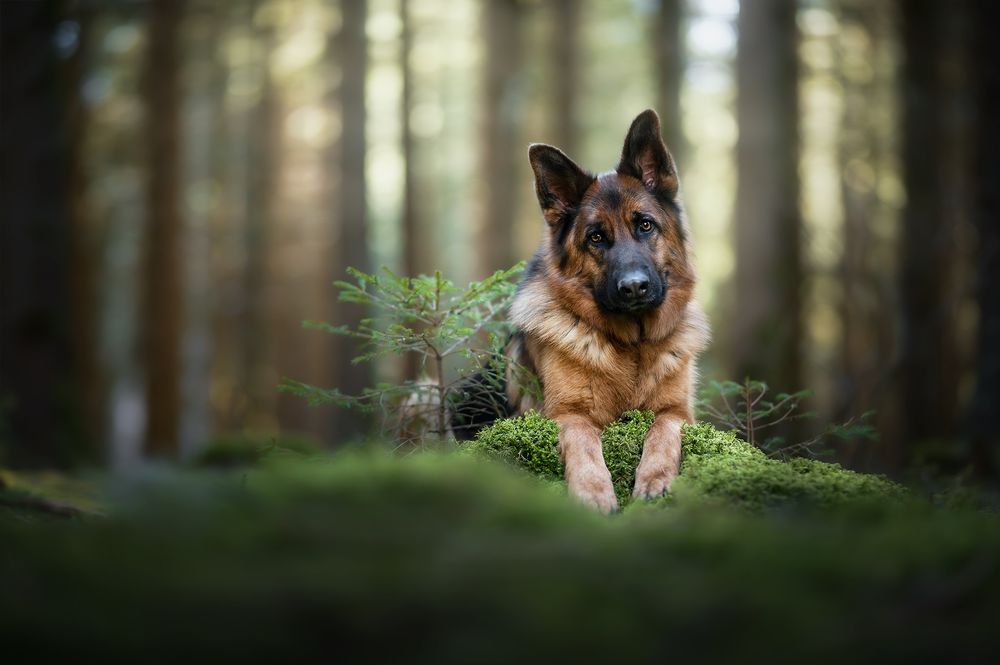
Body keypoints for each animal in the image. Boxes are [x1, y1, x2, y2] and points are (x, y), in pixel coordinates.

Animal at [458, 111, 708, 510]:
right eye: (596, 237)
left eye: (645, 225)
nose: (634, 287)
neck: (632, 346)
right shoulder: (566, 414)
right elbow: (583, 442)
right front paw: (593, 492)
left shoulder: (678, 412)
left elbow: (662, 431)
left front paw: (655, 480)